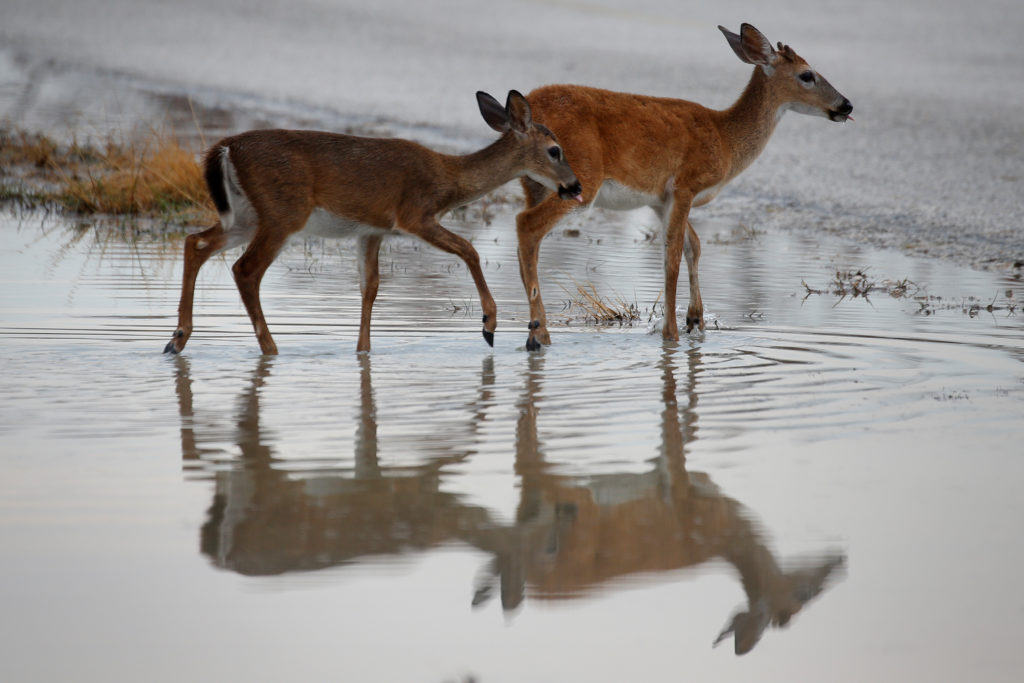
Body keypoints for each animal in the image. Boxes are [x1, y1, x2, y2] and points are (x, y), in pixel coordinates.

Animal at [165, 90, 585, 356]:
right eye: (555, 150)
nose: (576, 185)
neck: (446, 177)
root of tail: (225, 147)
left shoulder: (372, 231)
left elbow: (370, 287)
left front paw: (362, 352)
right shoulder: (414, 214)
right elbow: (469, 249)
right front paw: (488, 325)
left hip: (246, 216)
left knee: (195, 242)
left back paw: (177, 339)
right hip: (283, 213)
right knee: (245, 269)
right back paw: (270, 349)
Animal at [516, 23, 851, 350]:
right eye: (807, 74)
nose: (846, 104)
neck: (725, 140)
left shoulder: (660, 199)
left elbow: (694, 246)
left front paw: (695, 320)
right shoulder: (686, 186)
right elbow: (673, 256)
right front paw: (672, 335)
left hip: (533, 184)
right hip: (581, 179)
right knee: (527, 225)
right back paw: (539, 335)